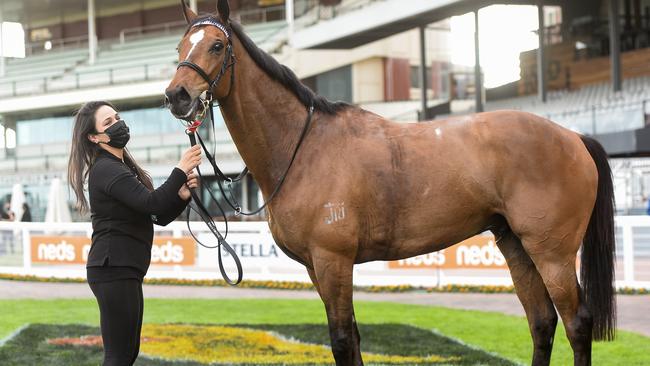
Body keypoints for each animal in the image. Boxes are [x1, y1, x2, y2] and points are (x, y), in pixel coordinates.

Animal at [165, 1, 616, 364]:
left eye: (217, 46)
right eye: (179, 49)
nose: (176, 96)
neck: (304, 146)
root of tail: (573, 137)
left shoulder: (333, 259)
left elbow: (342, 340)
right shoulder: (316, 267)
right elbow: (353, 338)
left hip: (552, 252)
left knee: (577, 323)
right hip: (515, 244)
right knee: (541, 321)